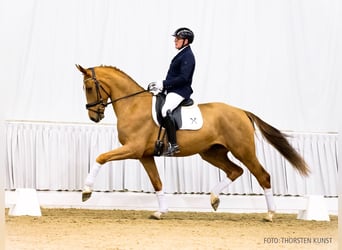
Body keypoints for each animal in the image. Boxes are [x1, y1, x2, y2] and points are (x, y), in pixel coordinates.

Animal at [76, 64, 308, 221]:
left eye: (88, 87)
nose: (93, 116)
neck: (132, 104)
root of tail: (242, 111)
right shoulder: (145, 155)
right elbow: (157, 182)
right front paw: (160, 212)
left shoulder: (133, 149)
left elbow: (101, 157)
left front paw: (86, 191)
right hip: (212, 152)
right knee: (235, 171)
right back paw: (214, 199)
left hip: (243, 150)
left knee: (262, 176)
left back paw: (270, 214)